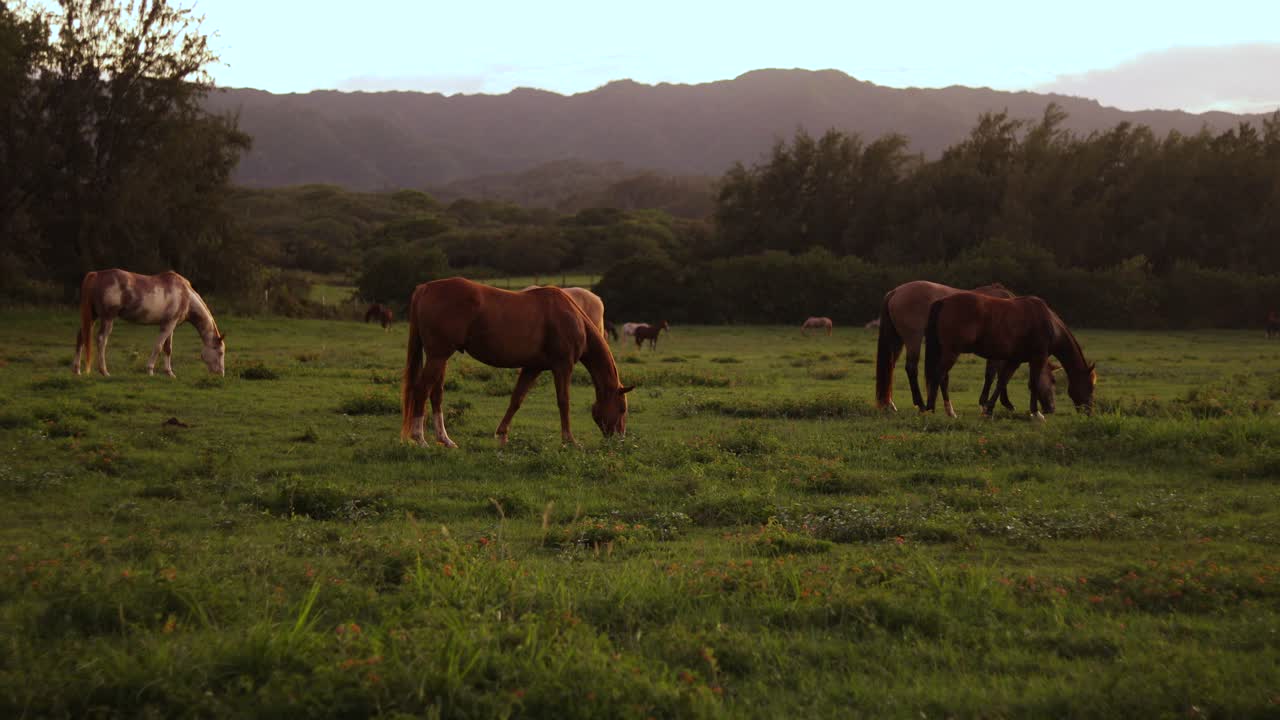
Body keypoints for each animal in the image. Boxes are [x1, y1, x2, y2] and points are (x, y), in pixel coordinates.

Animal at [73, 269, 225, 377]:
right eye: (220, 352)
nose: (221, 374)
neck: (185, 296)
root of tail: (97, 275)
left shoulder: (170, 325)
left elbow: (168, 348)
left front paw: (169, 373)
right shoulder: (168, 325)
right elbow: (158, 346)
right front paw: (150, 370)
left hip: (92, 317)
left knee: (81, 338)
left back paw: (77, 370)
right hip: (107, 318)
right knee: (101, 340)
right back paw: (104, 371)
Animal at [402, 278, 633, 448]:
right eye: (622, 409)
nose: (619, 441)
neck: (573, 318)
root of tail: (425, 288)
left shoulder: (533, 367)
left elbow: (516, 399)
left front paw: (502, 435)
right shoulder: (562, 366)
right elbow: (563, 401)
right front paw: (569, 441)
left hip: (440, 358)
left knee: (436, 394)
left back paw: (445, 440)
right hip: (438, 357)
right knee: (421, 390)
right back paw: (420, 439)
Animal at [875, 281, 1020, 412]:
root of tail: (895, 292)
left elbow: (999, 374)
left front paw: (1003, 402)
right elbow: (993, 374)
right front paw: (988, 403)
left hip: (897, 340)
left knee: (890, 367)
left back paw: (890, 404)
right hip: (913, 339)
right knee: (911, 368)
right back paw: (921, 404)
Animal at [924, 292, 1096, 420]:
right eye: (1090, 386)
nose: (1089, 412)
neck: (1049, 323)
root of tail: (944, 301)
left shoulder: (1015, 360)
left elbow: (1002, 382)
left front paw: (989, 410)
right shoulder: (1038, 358)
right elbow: (1033, 383)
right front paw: (1036, 413)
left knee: (942, 378)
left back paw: (947, 411)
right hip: (951, 352)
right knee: (939, 376)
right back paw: (932, 409)